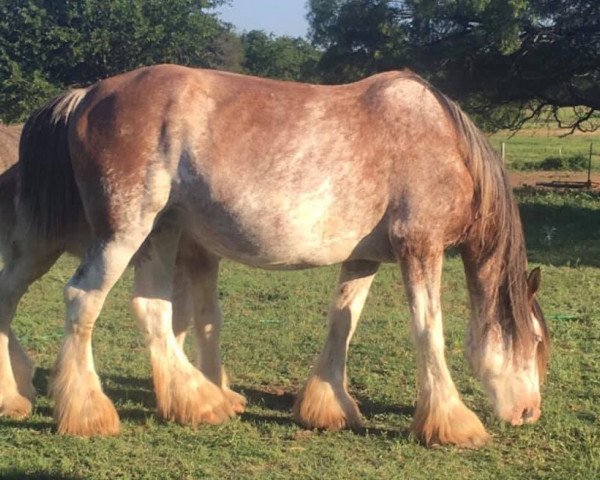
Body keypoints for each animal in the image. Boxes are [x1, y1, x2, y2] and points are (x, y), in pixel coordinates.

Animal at [10, 63, 548, 446]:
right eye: (538, 340)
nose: (529, 413)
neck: (443, 143)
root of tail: (89, 94)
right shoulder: (420, 247)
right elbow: (428, 330)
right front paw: (452, 423)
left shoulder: (365, 258)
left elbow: (343, 321)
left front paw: (327, 407)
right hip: (123, 232)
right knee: (82, 299)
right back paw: (87, 413)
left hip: (159, 234)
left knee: (152, 310)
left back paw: (199, 402)